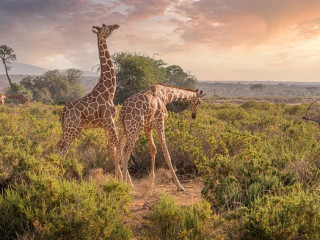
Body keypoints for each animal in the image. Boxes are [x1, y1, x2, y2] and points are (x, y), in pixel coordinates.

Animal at [56, 23, 124, 180]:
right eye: (106, 27)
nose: (116, 25)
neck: (109, 91)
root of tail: (64, 111)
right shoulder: (109, 122)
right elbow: (119, 147)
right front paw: (125, 180)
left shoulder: (106, 125)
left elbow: (112, 151)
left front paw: (118, 179)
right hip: (72, 129)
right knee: (63, 150)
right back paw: (58, 177)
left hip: (66, 129)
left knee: (57, 147)